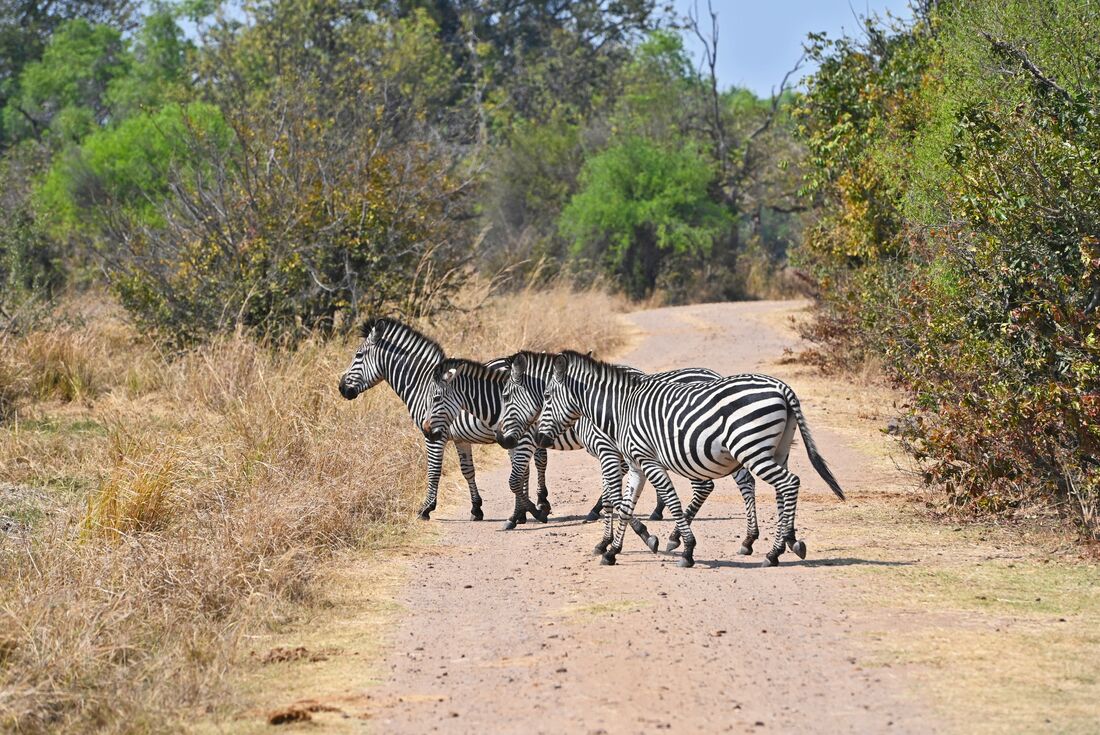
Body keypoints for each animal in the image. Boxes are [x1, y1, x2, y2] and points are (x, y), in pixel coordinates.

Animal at [337, 318, 550, 523]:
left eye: (358, 355)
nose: (341, 388)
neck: (421, 385)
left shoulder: (433, 434)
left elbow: (434, 470)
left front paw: (426, 508)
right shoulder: (461, 438)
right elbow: (468, 470)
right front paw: (476, 508)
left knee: (529, 464)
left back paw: (531, 507)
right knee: (534, 461)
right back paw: (531, 507)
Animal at [425, 356, 661, 546]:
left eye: (435, 399)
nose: (427, 430)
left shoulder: (525, 440)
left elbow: (515, 479)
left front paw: (530, 513)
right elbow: (523, 474)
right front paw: (526, 512)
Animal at [496, 353, 762, 559]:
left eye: (505, 396)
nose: (501, 438)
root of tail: (713, 374)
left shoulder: (607, 450)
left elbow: (613, 498)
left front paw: (632, 538)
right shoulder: (616, 454)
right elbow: (615, 497)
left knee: (707, 486)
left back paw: (679, 536)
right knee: (744, 480)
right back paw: (746, 539)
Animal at [535, 351, 845, 568]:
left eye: (547, 396)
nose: (538, 438)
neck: (621, 409)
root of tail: (782, 387)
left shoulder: (649, 460)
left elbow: (672, 501)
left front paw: (686, 549)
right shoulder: (635, 465)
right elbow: (624, 507)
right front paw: (612, 552)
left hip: (751, 449)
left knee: (789, 483)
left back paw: (773, 552)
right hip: (777, 450)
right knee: (780, 488)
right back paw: (785, 543)